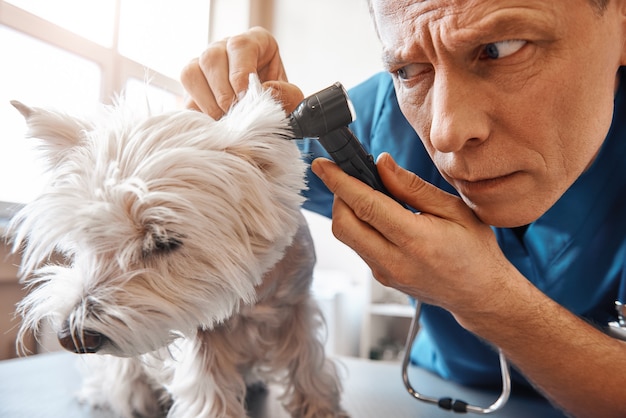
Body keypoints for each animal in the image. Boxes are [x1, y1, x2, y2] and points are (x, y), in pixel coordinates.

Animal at [9, 75, 344, 418]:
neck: (251, 297)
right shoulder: (202, 333)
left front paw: (322, 407)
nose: (71, 338)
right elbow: (208, 392)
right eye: (86, 238)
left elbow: (308, 364)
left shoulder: (297, 307)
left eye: (163, 242)